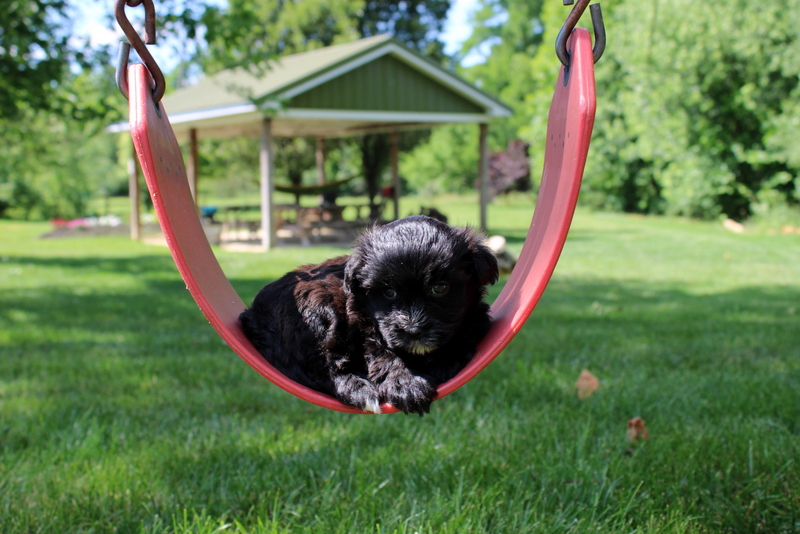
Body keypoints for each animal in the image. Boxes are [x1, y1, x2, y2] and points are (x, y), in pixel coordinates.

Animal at [241, 216, 496, 416]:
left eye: (440, 287)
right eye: (389, 292)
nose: (413, 330)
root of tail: (252, 315)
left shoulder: (476, 320)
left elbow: (461, 342)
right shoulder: (362, 323)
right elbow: (380, 352)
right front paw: (405, 385)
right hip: (320, 309)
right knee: (327, 367)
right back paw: (359, 390)